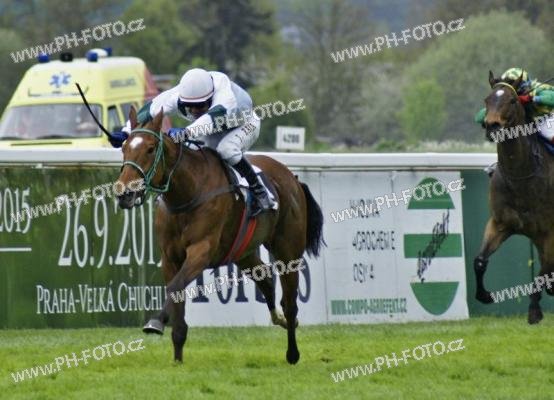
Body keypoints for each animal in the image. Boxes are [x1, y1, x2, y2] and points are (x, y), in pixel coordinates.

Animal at [115, 107, 325, 363]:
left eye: (150, 148)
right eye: (124, 147)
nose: (124, 193)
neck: (188, 193)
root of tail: (292, 178)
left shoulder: (201, 251)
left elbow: (175, 286)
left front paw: (156, 321)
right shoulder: (170, 257)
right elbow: (177, 296)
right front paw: (177, 359)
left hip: (288, 249)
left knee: (290, 302)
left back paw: (292, 352)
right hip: (243, 252)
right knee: (266, 279)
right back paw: (280, 320)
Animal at [474, 70, 554, 324]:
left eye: (511, 100)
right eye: (486, 99)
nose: (492, 126)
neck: (521, 175)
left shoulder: (549, 230)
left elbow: (543, 270)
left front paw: (534, 311)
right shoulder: (500, 223)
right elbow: (479, 260)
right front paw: (484, 295)